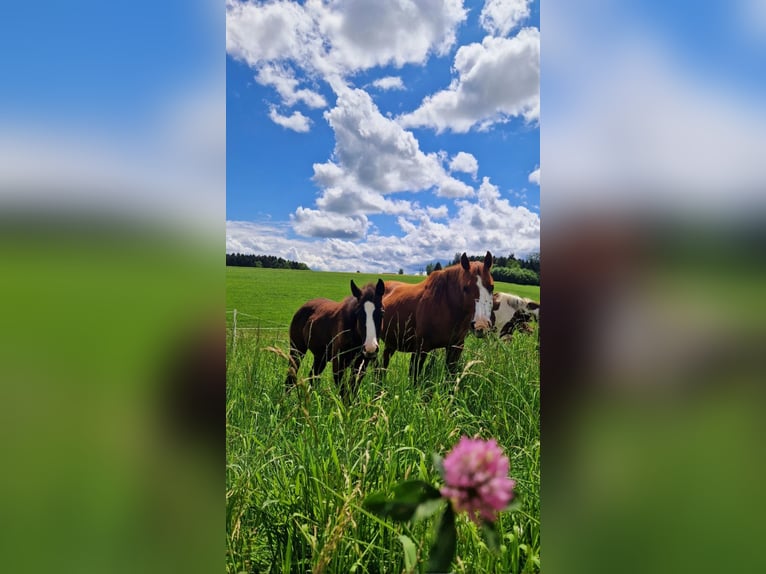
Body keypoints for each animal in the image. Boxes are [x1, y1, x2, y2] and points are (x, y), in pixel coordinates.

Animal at [381, 252, 494, 380]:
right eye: (465, 288)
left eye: (491, 287)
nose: (481, 325)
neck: (445, 303)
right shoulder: (420, 349)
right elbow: (414, 377)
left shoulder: (455, 347)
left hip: (390, 343)